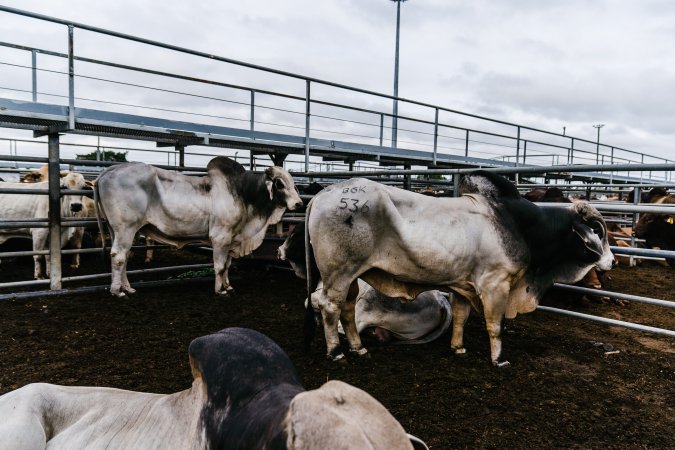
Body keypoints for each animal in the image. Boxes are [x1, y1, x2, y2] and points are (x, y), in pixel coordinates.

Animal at [96, 156, 302, 298]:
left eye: (293, 183)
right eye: (279, 183)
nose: (299, 203)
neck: (243, 193)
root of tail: (108, 171)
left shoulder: (230, 239)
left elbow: (227, 265)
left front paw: (228, 286)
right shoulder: (220, 237)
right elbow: (219, 266)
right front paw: (220, 291)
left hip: (118, 231)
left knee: (123, 258)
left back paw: (128, 288)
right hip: (126, 228)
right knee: (119, 257)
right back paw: (118, 292)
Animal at [308, 171, 616, 368]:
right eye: (598, 231)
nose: (612, 261)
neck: (522, 227)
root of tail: (323, 194)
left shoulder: (463, 285)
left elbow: (460, 316)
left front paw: (458, 348)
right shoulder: (495, 285)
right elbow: (495, 325)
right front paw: (499, 360)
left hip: (353, 275)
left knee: (347, 308)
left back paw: (359, 348)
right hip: (339, 272)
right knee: (329, 306)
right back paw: (336, 353)